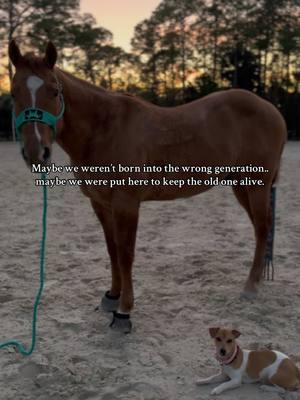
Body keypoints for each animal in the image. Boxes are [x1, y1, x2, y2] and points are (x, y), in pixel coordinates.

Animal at [8, 41, 286, 334]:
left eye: (54, 91)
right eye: (14, 93)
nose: (36, 153)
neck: (104, 128)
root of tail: (272, 110)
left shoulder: (126, 203)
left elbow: (126, 253)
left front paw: (123, 312)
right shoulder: (101, 203)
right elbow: (112, 250)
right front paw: (111, 296)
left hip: (257, 185)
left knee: (262, 228)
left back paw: (251, 287)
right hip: (242, 185)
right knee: (262, 228)